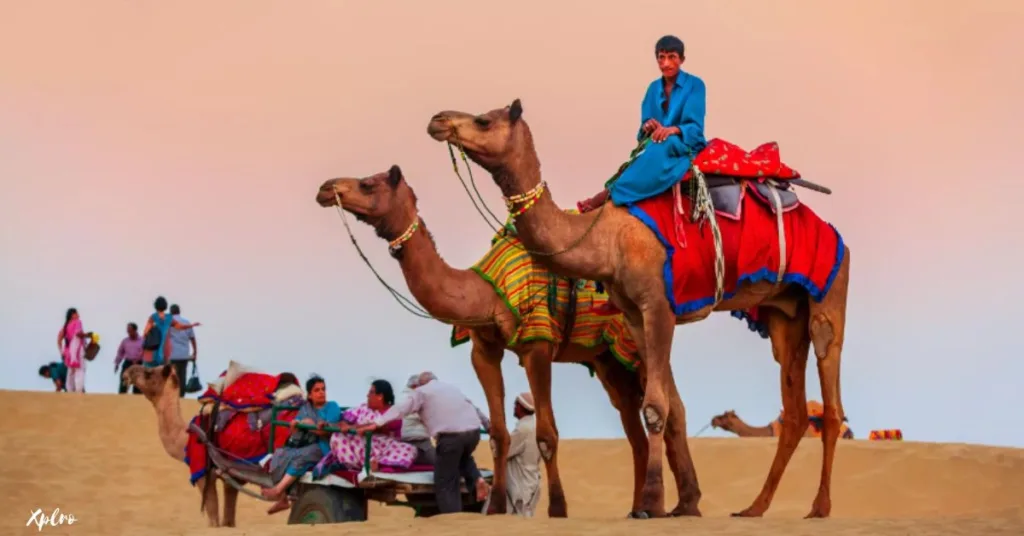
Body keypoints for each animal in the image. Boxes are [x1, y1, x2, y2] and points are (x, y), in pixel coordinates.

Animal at [311, 166, 696, 518]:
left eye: (367, 183)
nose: (326, 188)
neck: (485, 294)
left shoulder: (537, 345)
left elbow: (546, 433)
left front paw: (558, 509)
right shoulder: (484, 349)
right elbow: (497, 436)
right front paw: (495, 507)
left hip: (637, 337)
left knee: (669, 405)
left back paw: (675, 507)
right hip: (608, 360)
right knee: (635, 425)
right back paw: (642, 509)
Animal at [428, 99, 851, 520]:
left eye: (483, 120)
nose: (438, 120)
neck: (607, 238)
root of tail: (833, 232)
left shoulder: (659, 307)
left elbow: (656, 407)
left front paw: (650, 504)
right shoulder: (633, 315)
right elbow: (662, 406)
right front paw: (666, 504)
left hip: (829, 290)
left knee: (829, 394)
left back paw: (820, 507)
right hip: (783, 313)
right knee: (794, 410)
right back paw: (754, 508)